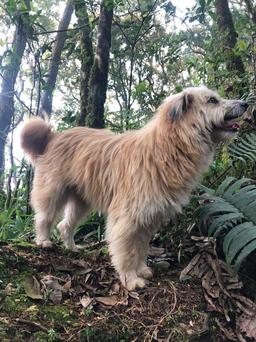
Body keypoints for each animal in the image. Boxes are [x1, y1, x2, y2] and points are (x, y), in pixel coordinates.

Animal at [20, 87, 248, 290]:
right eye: (212, 100)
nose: (245, 104)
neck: (169, 147)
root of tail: (54, 136)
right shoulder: (128, 219)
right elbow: (127, 251)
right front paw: (130, 279)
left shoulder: (148, 219)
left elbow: (141, 248)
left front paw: (141, 269)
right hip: (52, 191)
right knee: (44, 217)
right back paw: (43, 240)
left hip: (81, 202)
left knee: (64, 225)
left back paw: (72, 247)